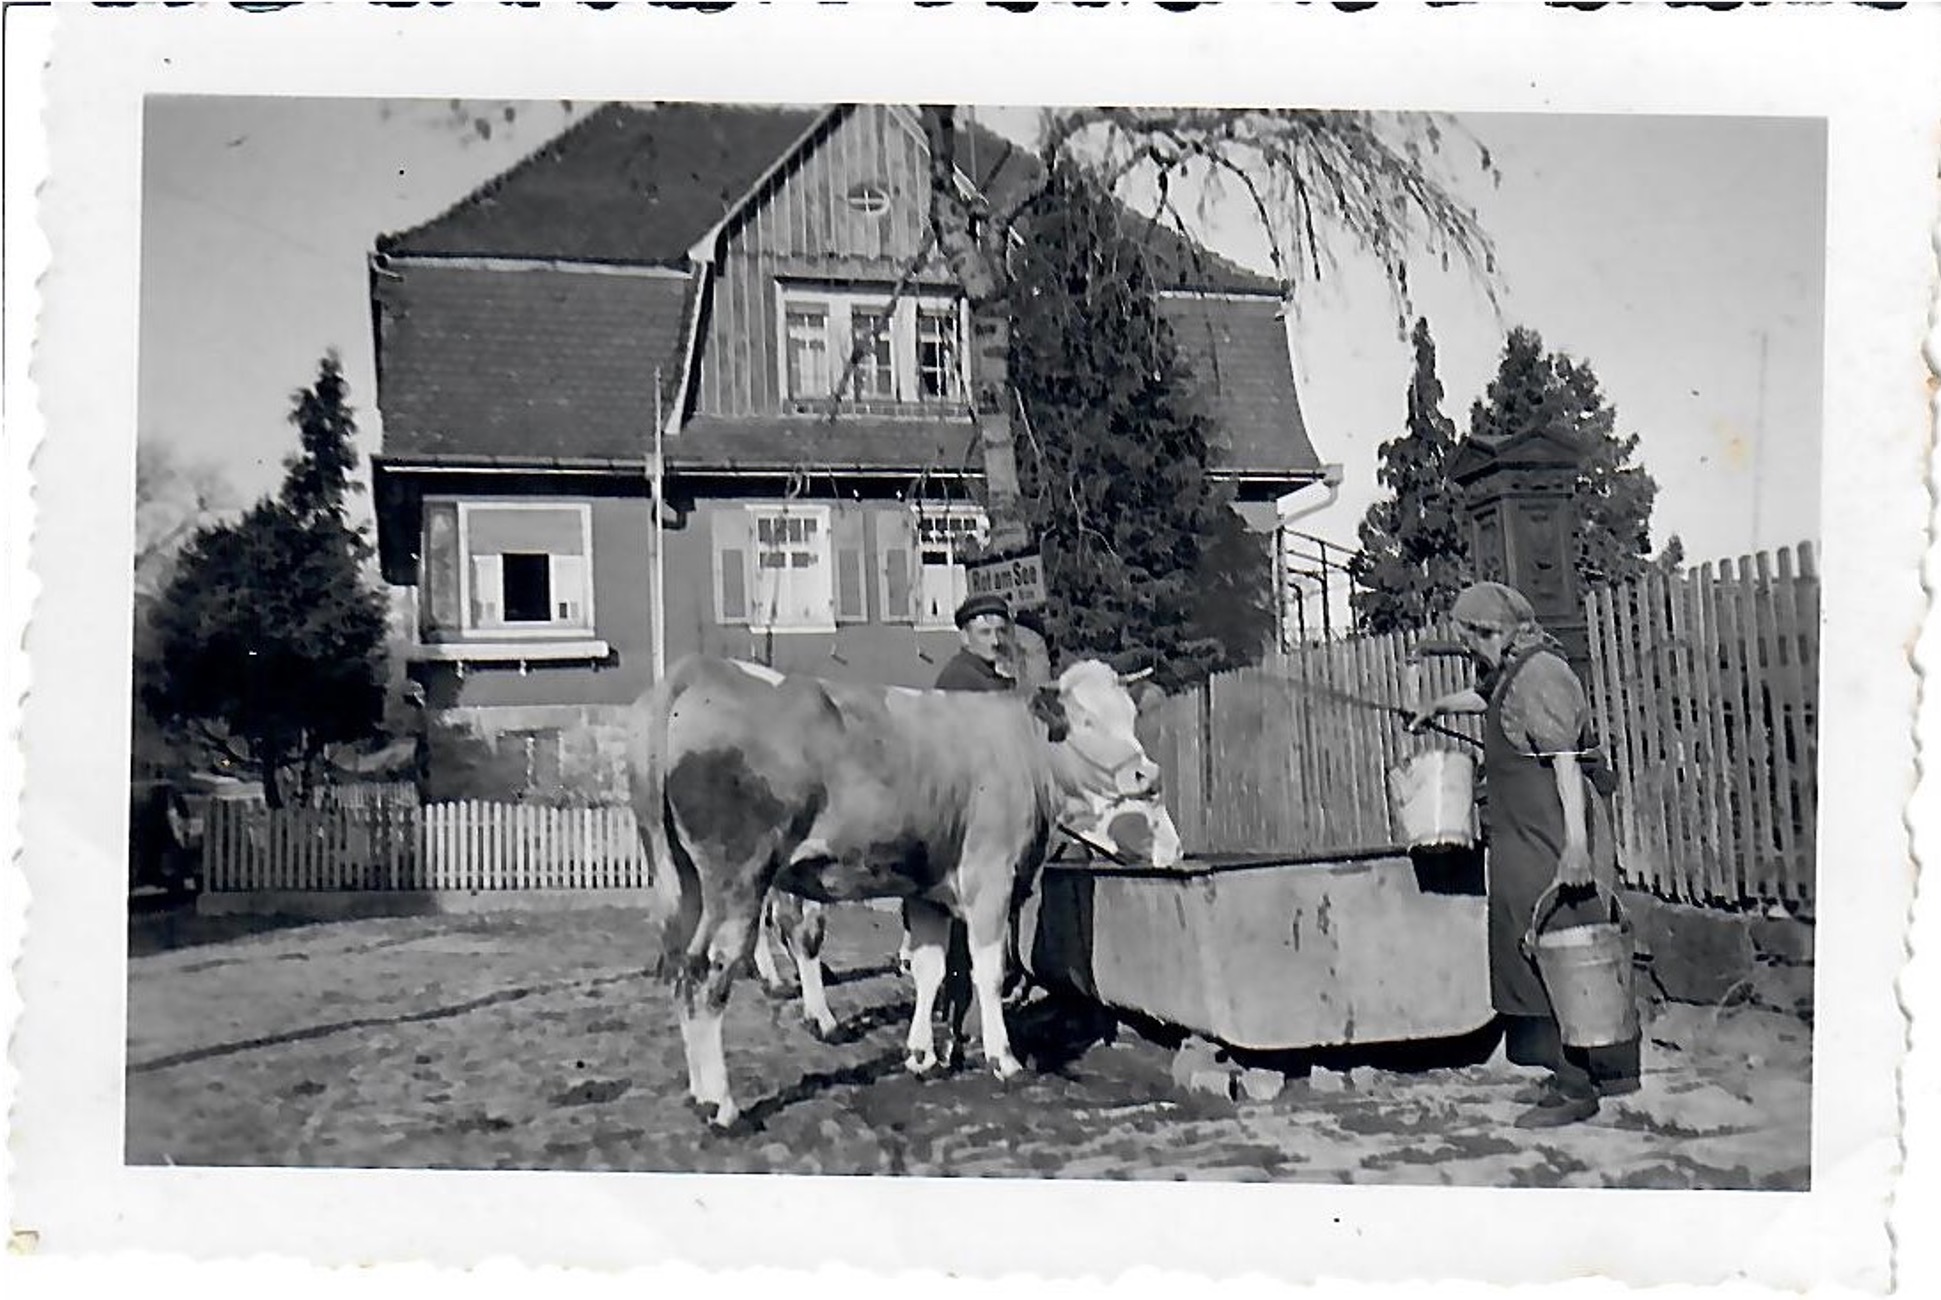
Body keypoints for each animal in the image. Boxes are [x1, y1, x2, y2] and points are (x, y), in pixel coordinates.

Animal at [628, 655, 1172, 1125]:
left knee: (684, 967)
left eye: (1128, 715)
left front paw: (921, 1055)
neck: (1019, 747)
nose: (1147, 773)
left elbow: (929, 968)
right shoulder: (990, 877)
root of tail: (698, 671)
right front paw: (1003, 1059)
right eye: (1086, 720)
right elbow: (988, 971)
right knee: (709, 971)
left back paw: (700, 1093)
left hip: (686, 883)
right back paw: (721, 1105)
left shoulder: (928, 890)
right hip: (738, 879)